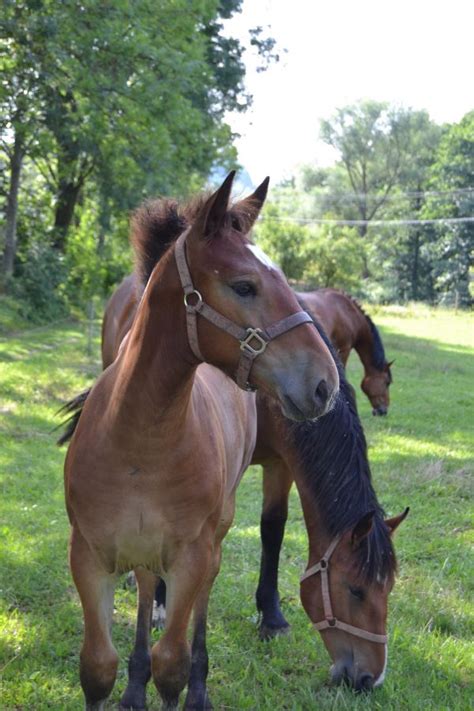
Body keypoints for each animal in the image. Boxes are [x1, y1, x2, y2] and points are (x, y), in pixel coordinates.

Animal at [62, 172, 340, 711]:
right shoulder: (89, 554)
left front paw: (187, 684)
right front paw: (128, 683)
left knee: (202, 599)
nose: (324, 383)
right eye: (244, 285)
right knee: (147, 585)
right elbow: (97, 668)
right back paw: (136, 684)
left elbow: (173, 663)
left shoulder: (191, 555)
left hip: (216, 533)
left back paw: (199, 686)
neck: (138, 443)